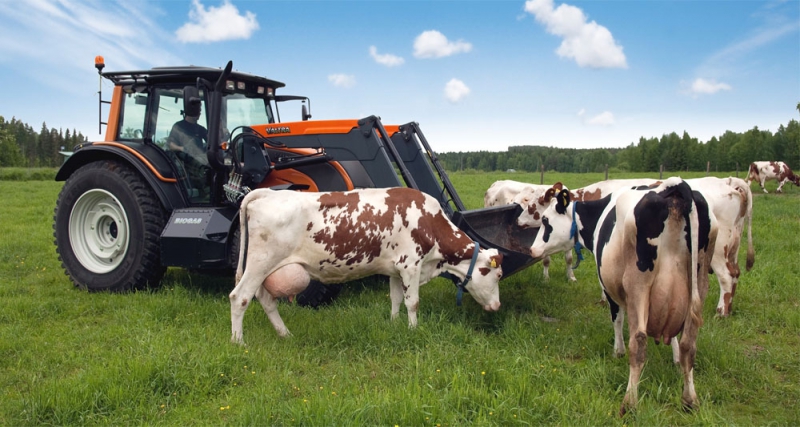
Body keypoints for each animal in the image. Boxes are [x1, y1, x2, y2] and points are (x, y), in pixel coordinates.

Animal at [229, 187, 504, 343]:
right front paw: (414, 330)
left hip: (266, 269)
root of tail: (267, 192)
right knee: (239, 297)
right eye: (497, 274)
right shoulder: (411, 265)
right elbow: (412, 302)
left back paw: (284, 334)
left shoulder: (396, 268)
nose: (497, 306)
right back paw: (238, 342)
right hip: (260, 263)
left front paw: (394, 325)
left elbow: (395, 299)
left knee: (265, 299)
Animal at [525, 177, 754, 316]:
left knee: (726, 277)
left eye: (542, 216)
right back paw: (728, 308)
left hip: (717, 251)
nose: (532, 249)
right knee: (735, 273)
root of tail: (730, 183)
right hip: (731, 247)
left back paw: (721, 312)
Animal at [529, 177, 718, 415]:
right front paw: (675, 358)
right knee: (689, 344)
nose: (532, 250)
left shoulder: (609, 287)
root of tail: (675, 185)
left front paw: (617, 351)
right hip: (699, 282)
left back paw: (629, 403)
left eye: (545, 220)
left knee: (639, 341)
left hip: (638, 283)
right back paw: (689, 399)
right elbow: (674, 336)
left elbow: (617, 318)